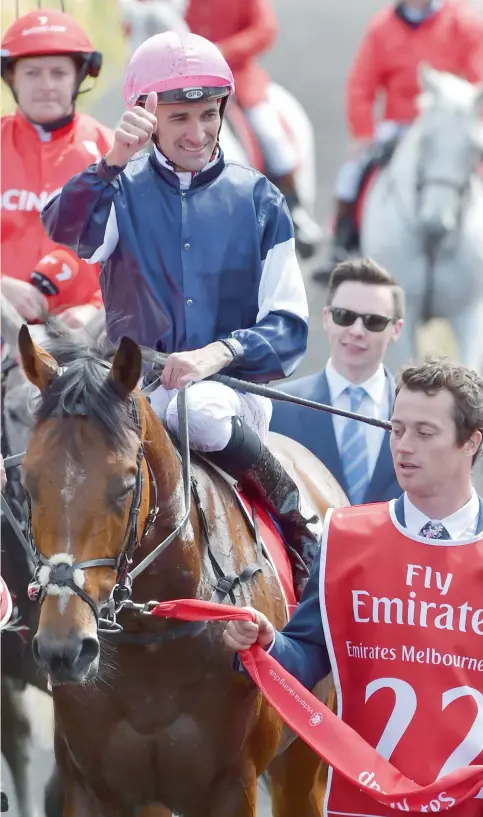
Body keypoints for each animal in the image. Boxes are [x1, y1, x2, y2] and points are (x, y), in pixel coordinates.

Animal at [17, 326, 346, 816]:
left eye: (125, 485)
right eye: (29, 482)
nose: (65, 649)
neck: (154, 643)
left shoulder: (231, 788)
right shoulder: (96, 788)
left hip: (306, 757)